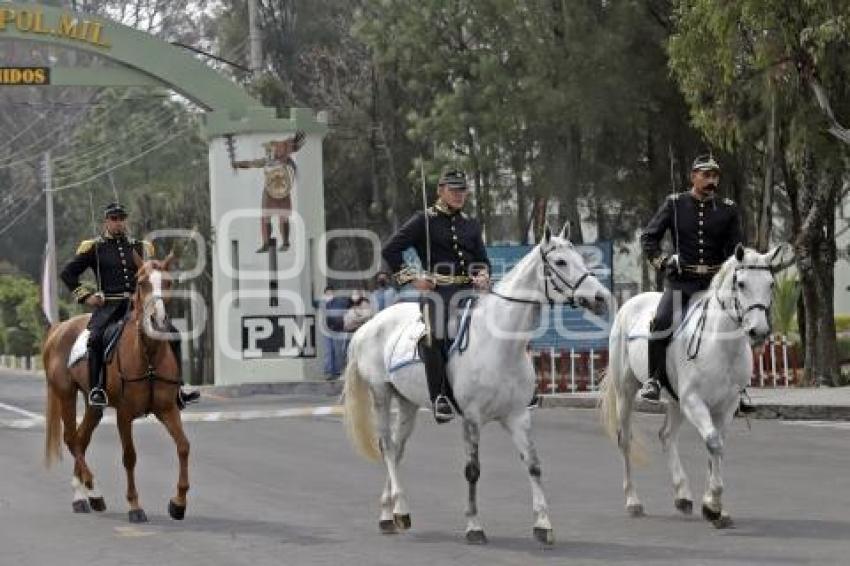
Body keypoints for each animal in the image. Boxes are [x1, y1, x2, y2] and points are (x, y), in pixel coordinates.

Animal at [43, 255, 190, 524]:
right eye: (141, 283)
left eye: (168, 282)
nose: (158, 322)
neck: (148, 354)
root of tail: (59, 328)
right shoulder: (124, 414)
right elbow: (129, 456)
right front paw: (134, 506)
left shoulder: (167, 408)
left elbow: (183, 447)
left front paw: (178, 503)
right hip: (66, 394)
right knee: (71, 438)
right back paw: (91, 491)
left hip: (93, 404)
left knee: (81, 439)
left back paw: (84, 495)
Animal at [342, 229, 612, 548]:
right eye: (560, 261)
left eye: (580, 257)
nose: (600, 297)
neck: (501, 345)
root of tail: (369, 324)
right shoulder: (471, 418)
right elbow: (473, 471)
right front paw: (474, 526)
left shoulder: (518, 416)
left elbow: (533, 465)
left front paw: (543, 524)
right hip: (382, 394)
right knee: (385, 445)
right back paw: (401, 509)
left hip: (407, 403)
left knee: (396, 450)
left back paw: (389, 514)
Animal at [600, 246, 784, 532]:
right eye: (741, 284)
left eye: (771, 284)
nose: (759, 331)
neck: (720, 344)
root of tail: (630, 303)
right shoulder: (694, 401)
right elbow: (713, 443)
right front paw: (712, 505)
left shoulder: (725, 407)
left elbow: (716, 447)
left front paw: (716, 507)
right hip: (626, 392)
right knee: (625, 439)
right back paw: (633, 501)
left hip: (676, 401)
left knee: (666, 435)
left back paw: (683, 495)